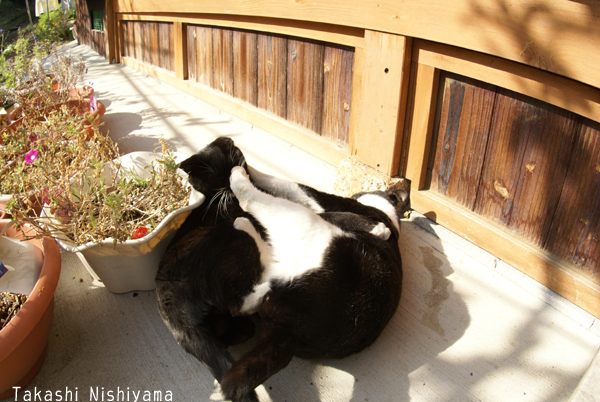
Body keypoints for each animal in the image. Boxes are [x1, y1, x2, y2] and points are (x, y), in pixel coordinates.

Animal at [155, 137, 410, 402]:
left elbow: (293, 187)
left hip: (291, 226)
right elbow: (291, 188)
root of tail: (293, 328)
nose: (234, 169)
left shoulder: (319, 202)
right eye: (214, 176)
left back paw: (242, 206)